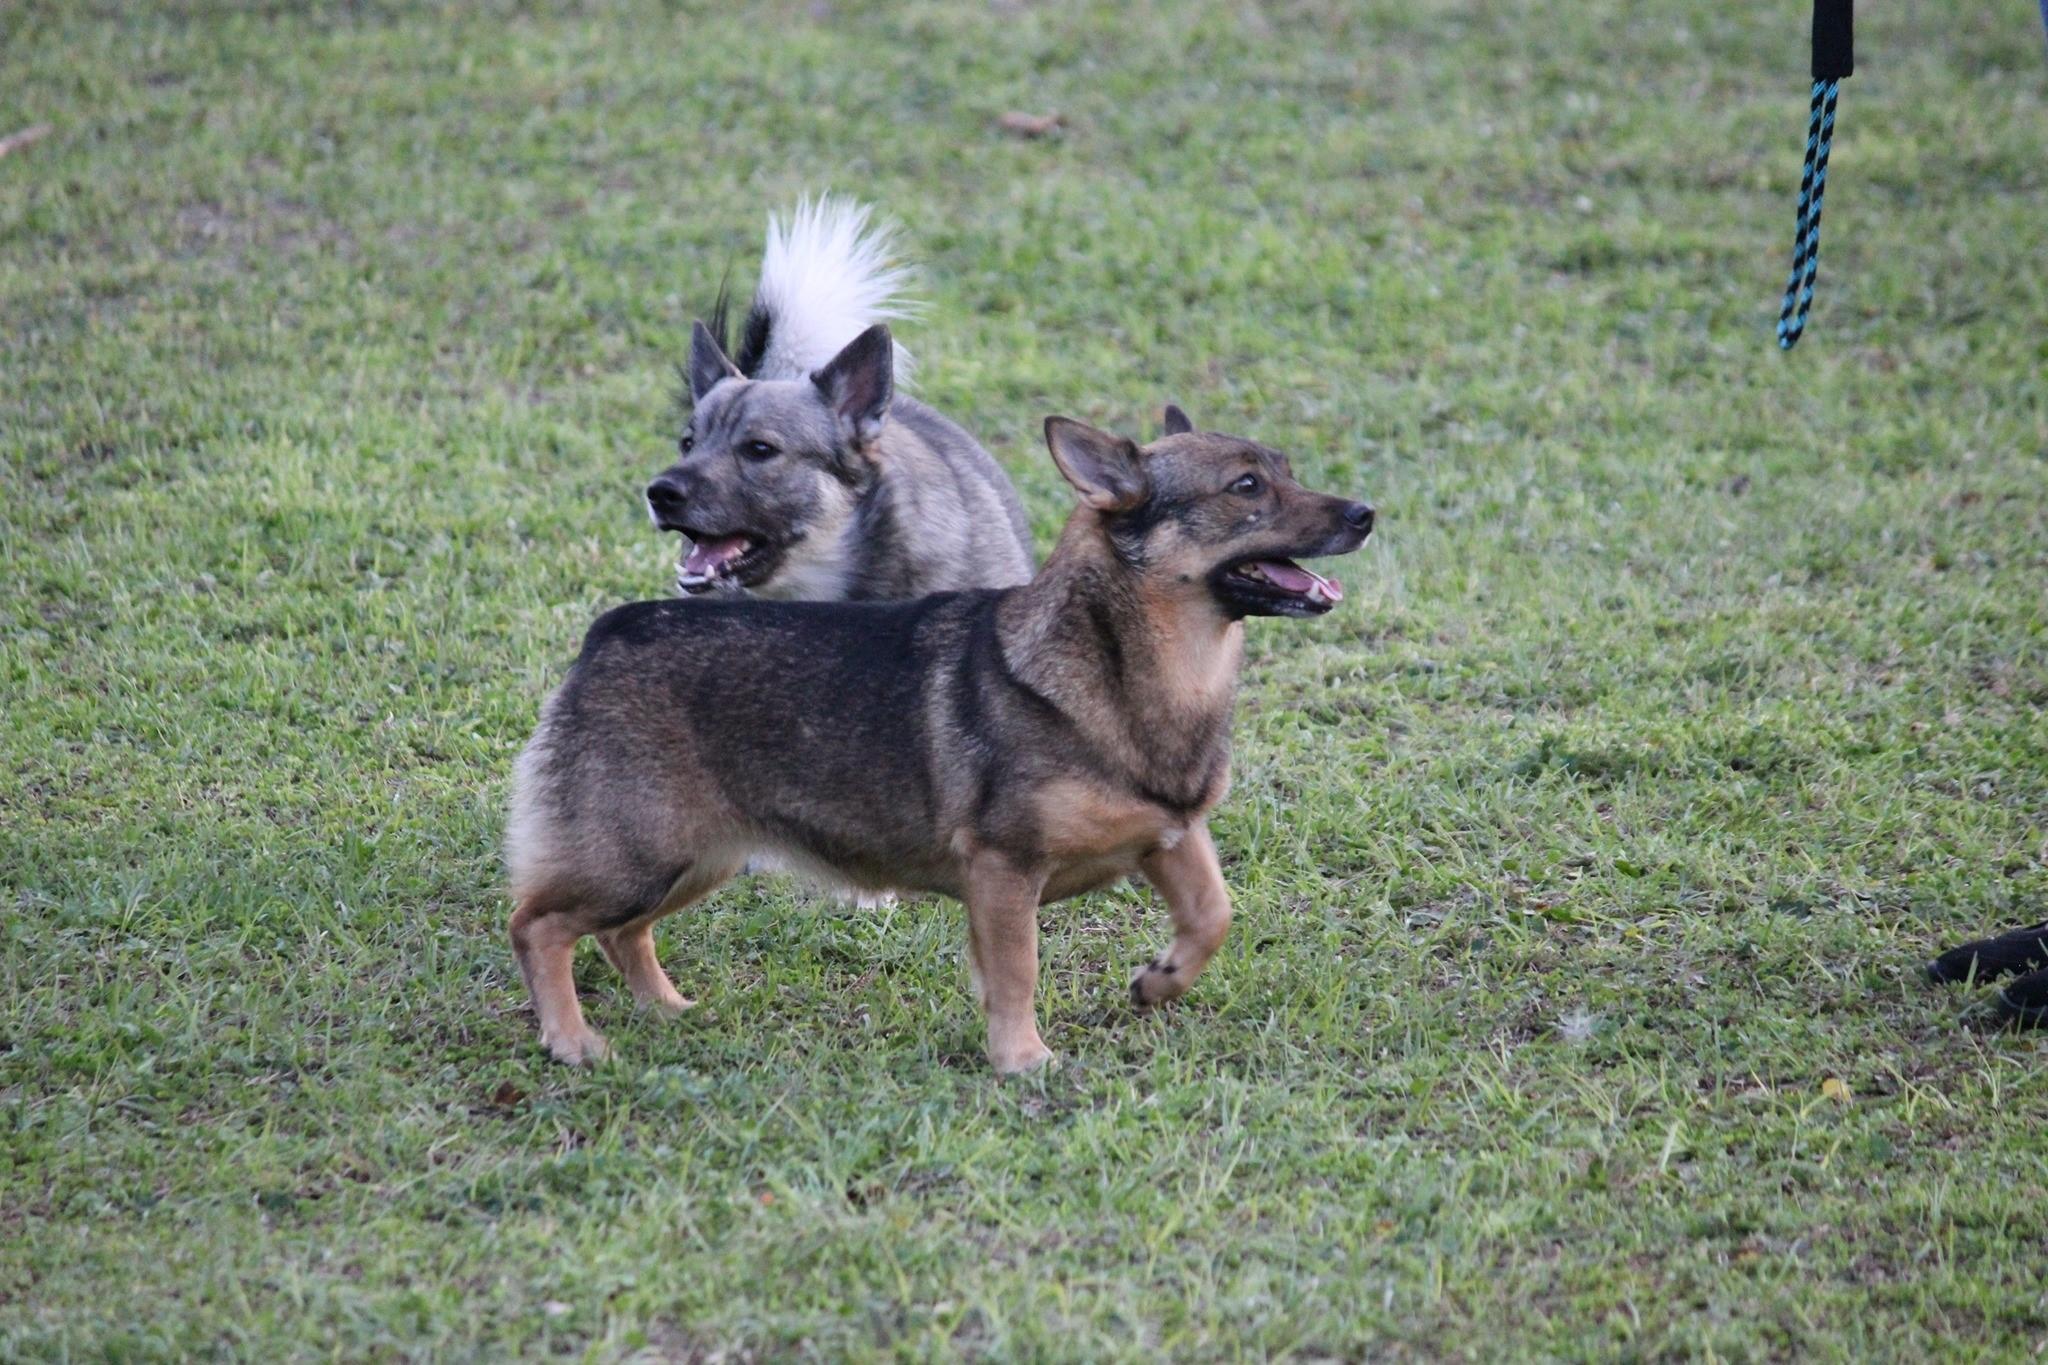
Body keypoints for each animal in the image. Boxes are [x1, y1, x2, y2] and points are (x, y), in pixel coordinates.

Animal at [507, 404, 1374, 1072]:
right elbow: (1018, 972)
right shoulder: (1005, 870)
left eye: (1285, 468)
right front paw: (1022, 1058)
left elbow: (1212, 915)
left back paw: (668, 1008)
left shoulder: (1171, 836)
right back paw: (572, 1040)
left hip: (691, 859)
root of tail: (609, 631)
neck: (1135, 670)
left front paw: (1159, 980)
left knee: (621, 935)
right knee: (538, 927)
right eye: (1247, 487)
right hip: (638, 857)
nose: (1366, 514)